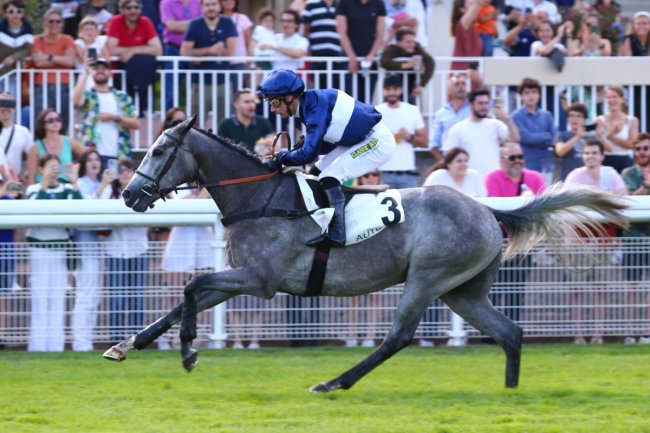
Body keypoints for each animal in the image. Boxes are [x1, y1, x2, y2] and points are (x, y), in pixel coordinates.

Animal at [105, 116, 628, 392]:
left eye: (158, 152)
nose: (128, 195)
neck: (258, 196)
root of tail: (485, 209)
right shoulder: (242, 275)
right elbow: (181, 302)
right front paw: (125, 346)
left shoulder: (261, 279)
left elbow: (192, 287)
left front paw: (190, 352)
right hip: (462, 291)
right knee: (511, 332)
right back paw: (510, 391)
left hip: (427, 278)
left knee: (397, 337)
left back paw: (334, 382)